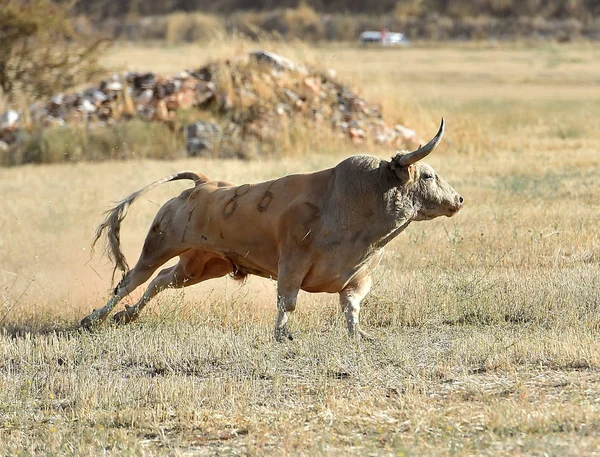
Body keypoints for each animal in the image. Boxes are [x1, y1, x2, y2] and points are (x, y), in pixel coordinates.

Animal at [81, 117, 464, 338]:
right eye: (428, 175)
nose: (458, 199)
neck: (355, 201)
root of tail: (202, 183)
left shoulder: (358, 276)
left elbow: (351, 309)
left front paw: (359, 336)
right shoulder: (292, 261)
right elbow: (288, 301)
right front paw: (282, 334)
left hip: (201, 264)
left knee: (160, 281)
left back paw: (127, 317)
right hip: (160, 244)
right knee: (131, 280)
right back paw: (94, 319)